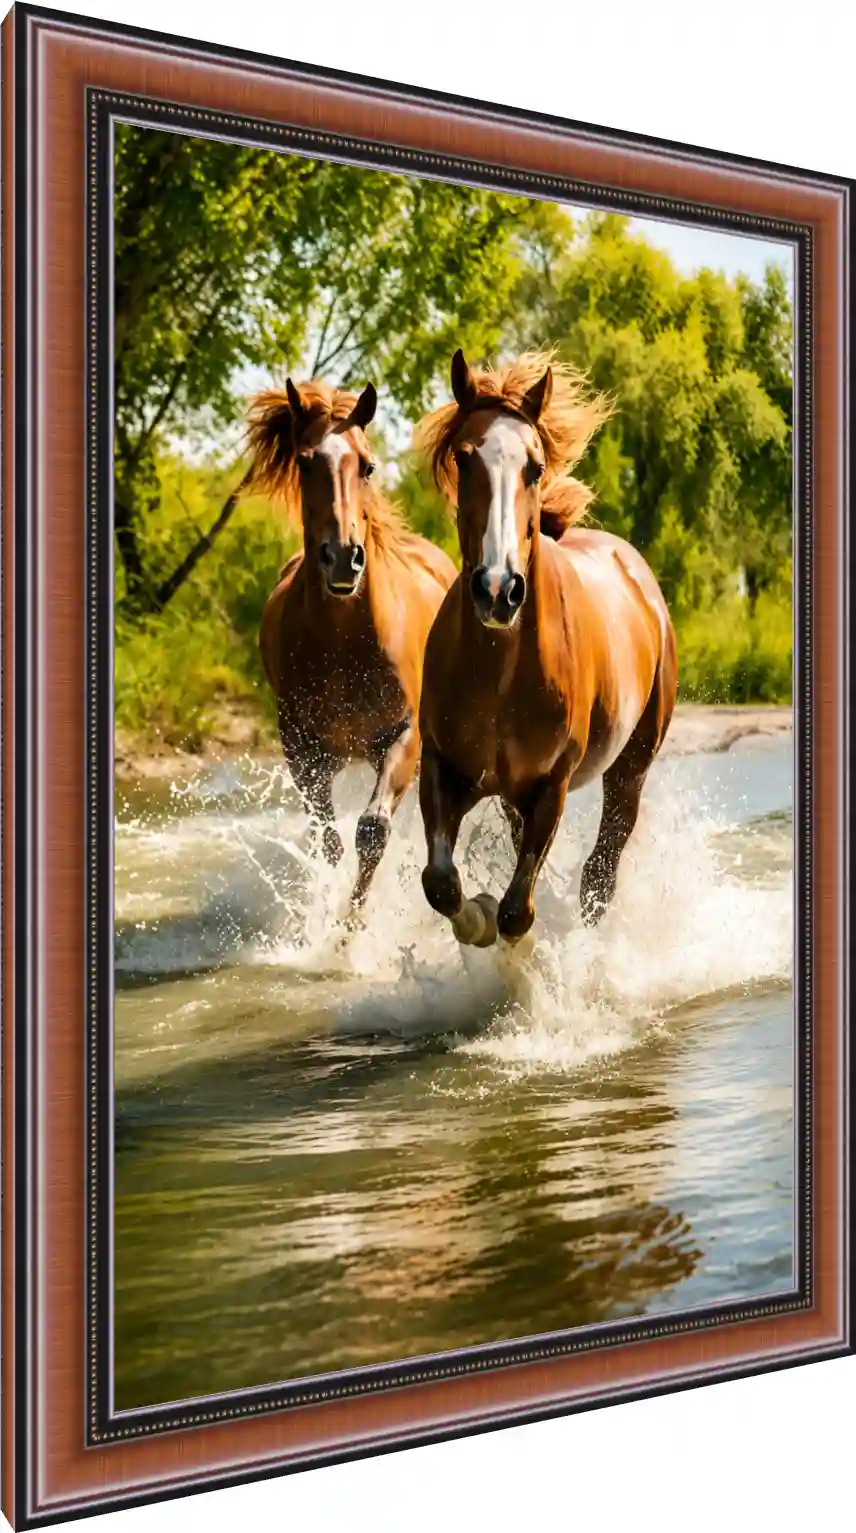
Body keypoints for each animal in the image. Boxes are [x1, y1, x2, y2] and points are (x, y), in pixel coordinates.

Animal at [250, 377, 457, 922]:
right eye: (305, 462)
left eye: (366, 465)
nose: (344, 558)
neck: (345, 642)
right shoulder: (304, 751)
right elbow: (331, 841)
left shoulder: (403, 735)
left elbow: (373, 831)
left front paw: (350, 927)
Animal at [414, 349, 678, 949]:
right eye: (464, 458)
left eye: (533, 467)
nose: (497, 589)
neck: (500, 670)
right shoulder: (444, 767)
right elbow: (440, 883)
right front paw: (478, 917)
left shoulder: (549, 786)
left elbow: (519, 911)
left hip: (630, 769)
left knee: (600, 875)